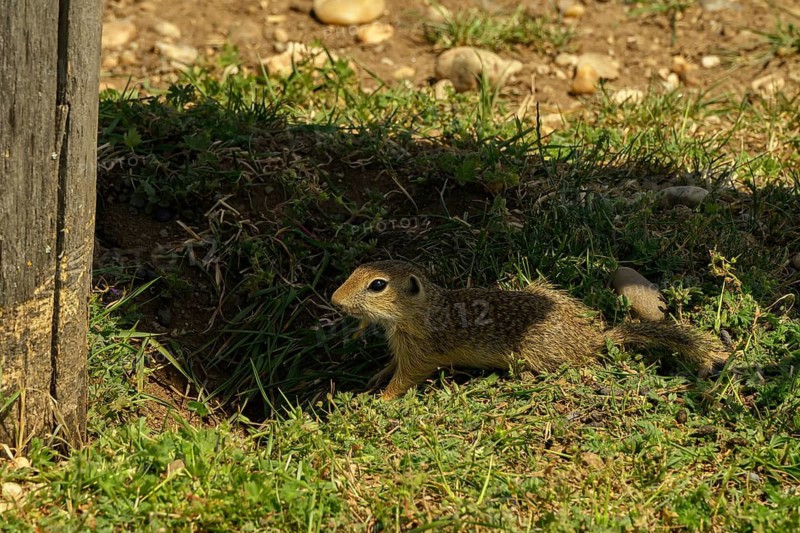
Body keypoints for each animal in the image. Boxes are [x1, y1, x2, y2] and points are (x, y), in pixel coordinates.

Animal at [331, 260, 729, 400]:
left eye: (378, 285)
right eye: (355, 270)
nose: (335, 300)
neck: (423, 310)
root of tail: (594, 337)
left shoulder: (423, 352)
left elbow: (407, 377)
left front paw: (379, 400)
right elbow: (393, 366)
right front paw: (376, 377)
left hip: (533, 351)